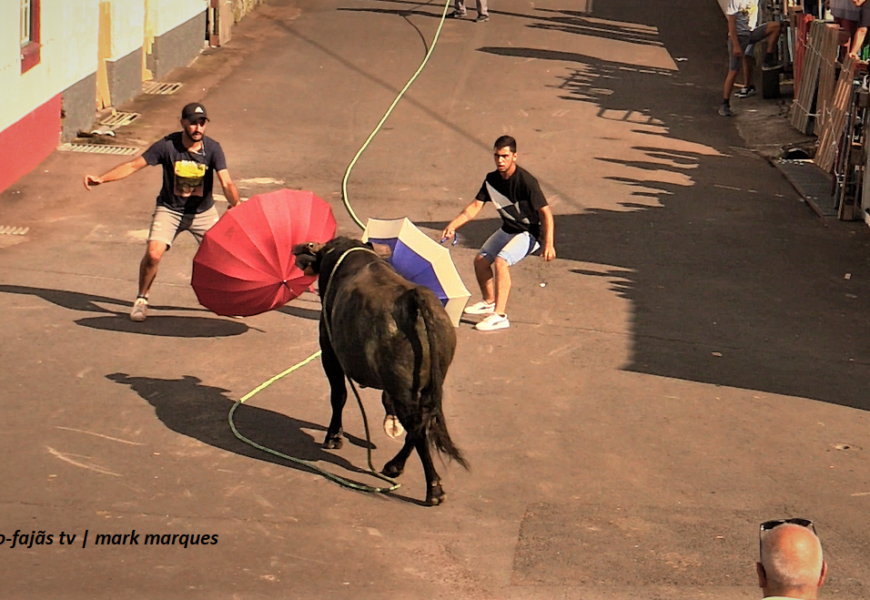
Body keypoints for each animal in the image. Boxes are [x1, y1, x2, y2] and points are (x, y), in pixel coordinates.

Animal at [292, 237, 470, 504]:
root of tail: (414, 299)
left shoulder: (329, 352)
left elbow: (339, 396)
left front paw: (333, 437)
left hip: (403, 390)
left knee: (417, 429)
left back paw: (433, 489)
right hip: (425, 387)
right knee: (422, 424)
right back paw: (395, 466)